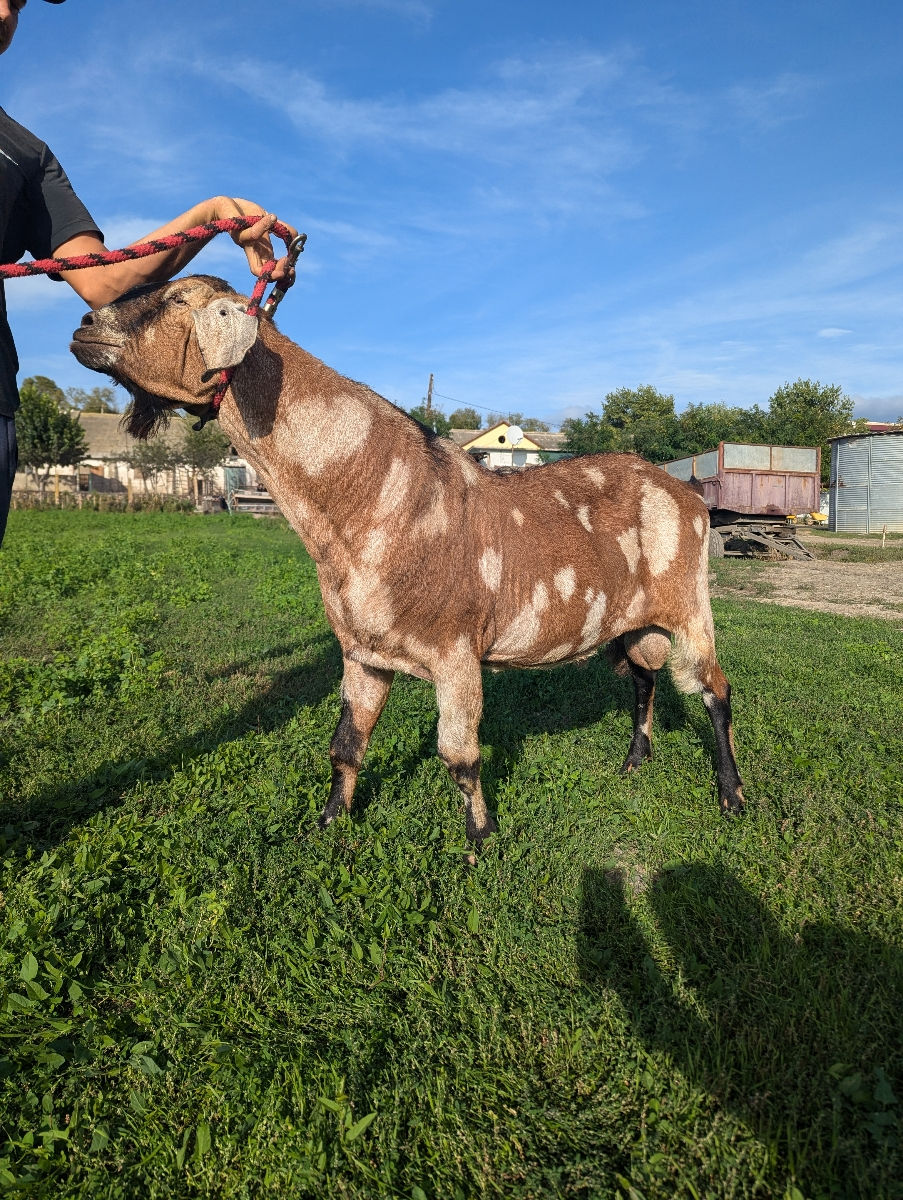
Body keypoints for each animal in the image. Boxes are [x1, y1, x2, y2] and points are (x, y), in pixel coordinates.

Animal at [70, 277, 744, 849]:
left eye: (177, 299)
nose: (83, 326)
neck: (378, 497)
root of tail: (689, 495)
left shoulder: (455, 653)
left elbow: (460, 756)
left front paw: (479, 842)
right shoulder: (362, 653)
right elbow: (346, 744)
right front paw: (330, 824)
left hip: (690, 605)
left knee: (714, 690)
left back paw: (732, 795)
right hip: (634, 618)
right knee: (644, 677)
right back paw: (635, 761)